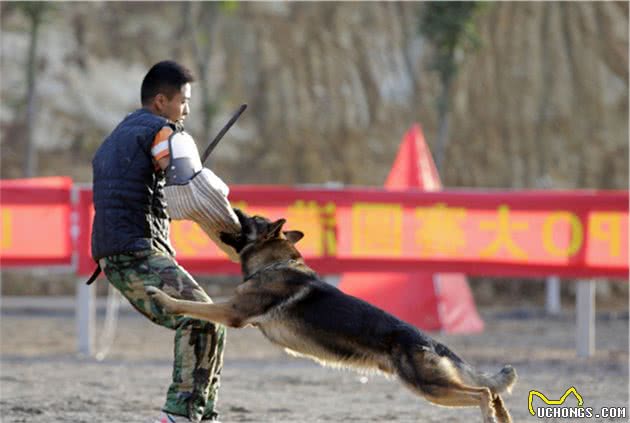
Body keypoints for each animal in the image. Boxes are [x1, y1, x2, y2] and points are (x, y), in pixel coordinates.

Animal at [148, 210, 520, 422]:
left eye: (249, 219)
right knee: (494, 393)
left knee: (483, 393)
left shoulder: (232, 311)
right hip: (433, 384)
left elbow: (195, 306)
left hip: (428, 386)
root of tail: (432, 342)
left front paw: (163, 297)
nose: (233, 206)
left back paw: (488, 415)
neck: (274, 262)